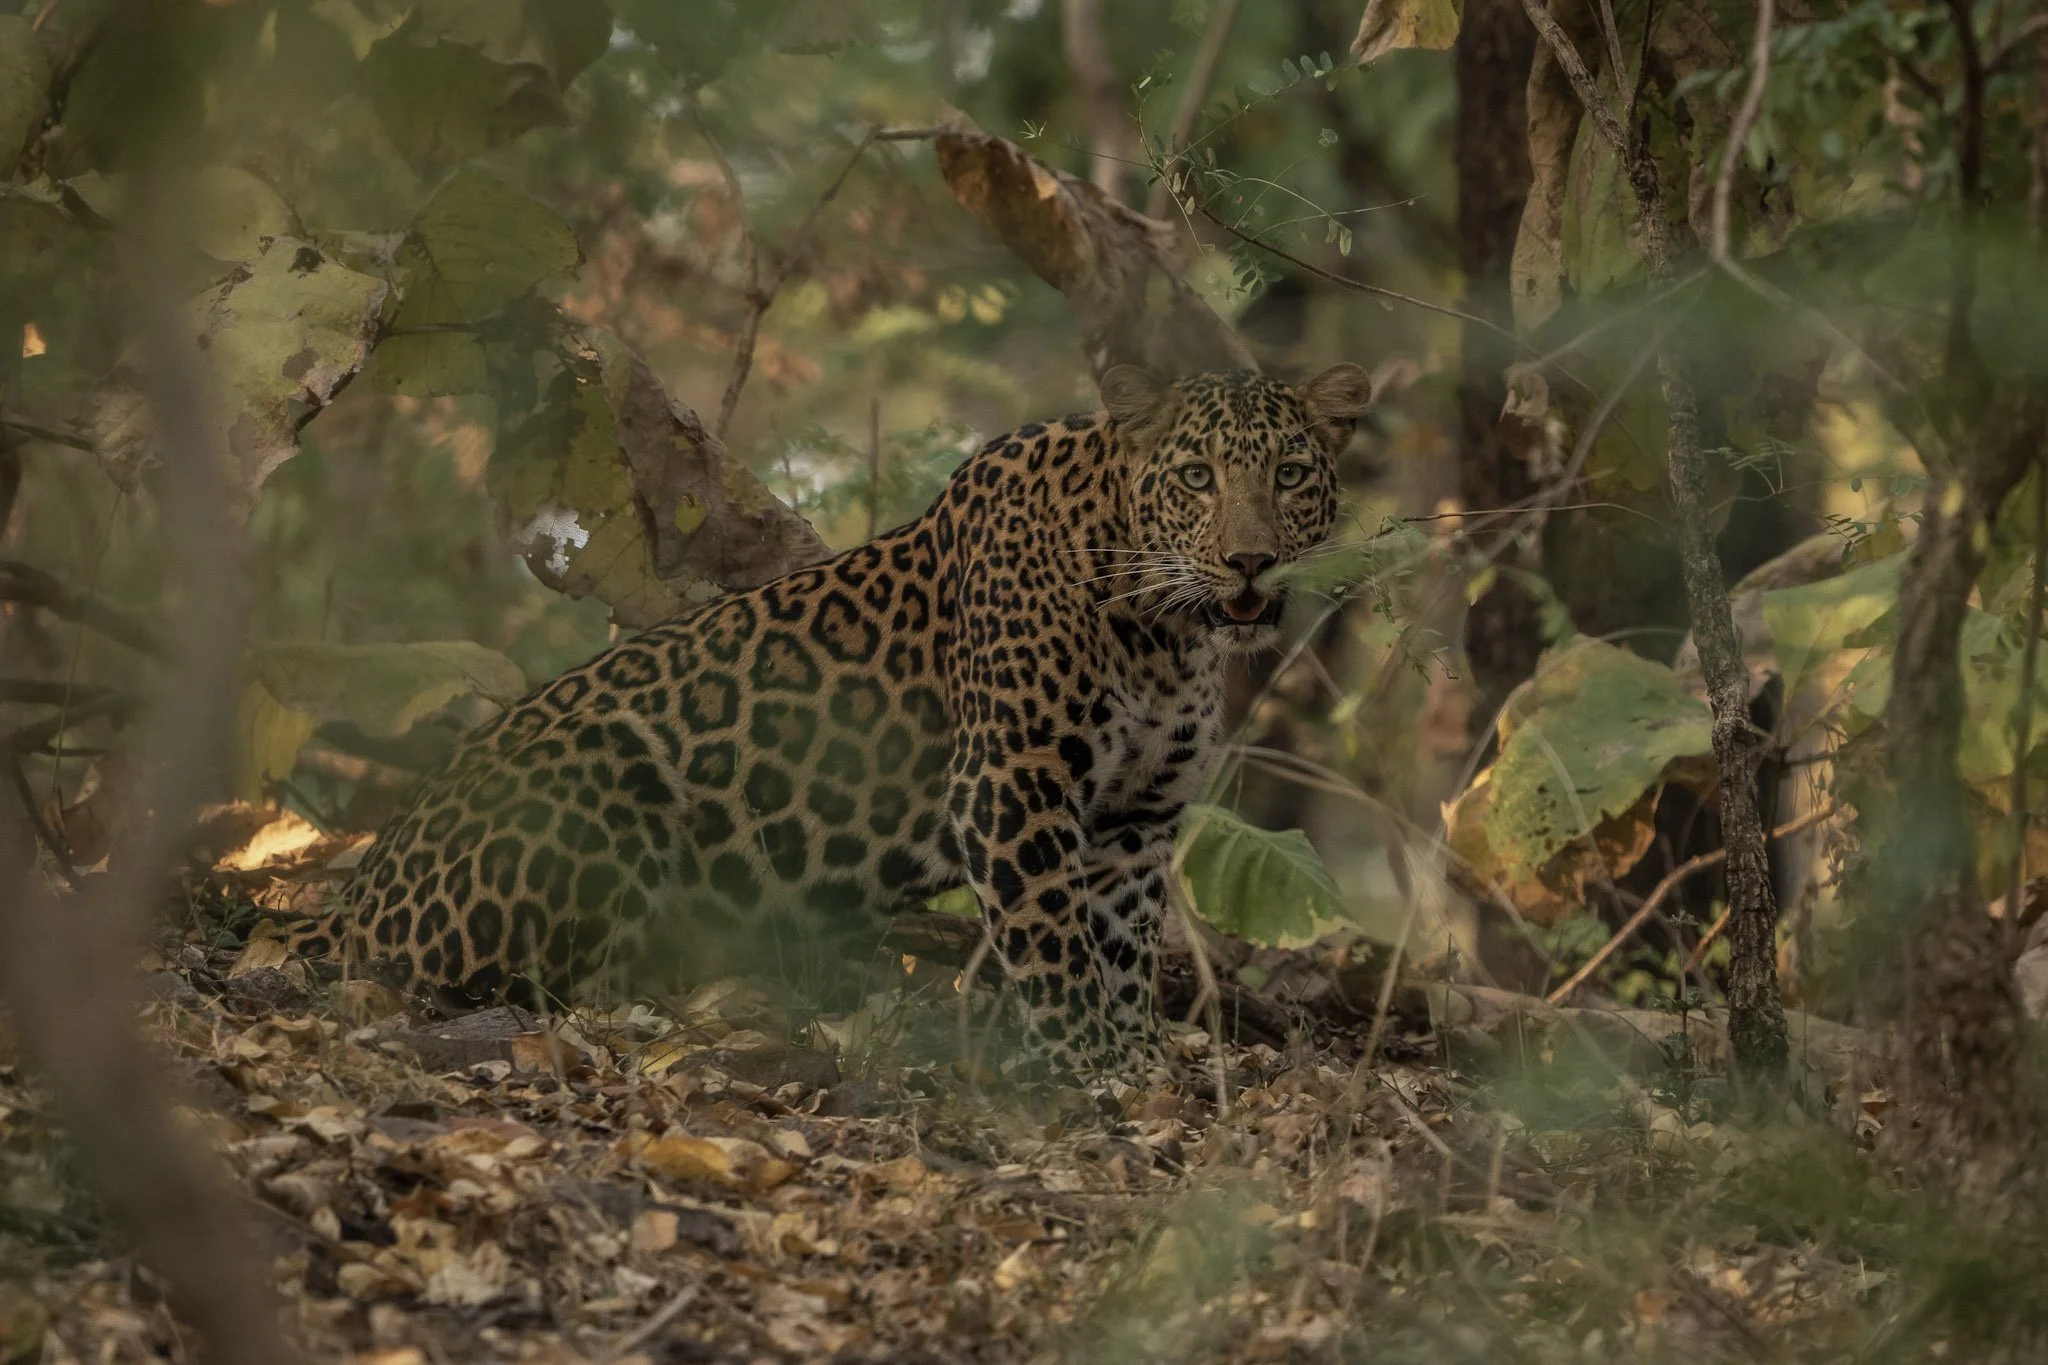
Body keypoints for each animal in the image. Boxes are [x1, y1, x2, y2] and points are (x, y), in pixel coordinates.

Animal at [288, 363, 1375, 1075]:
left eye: (1288, 474)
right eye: (1196, 478)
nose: (1248, 561)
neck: (1162, 630)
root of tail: (358, 897)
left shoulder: (1136, 816)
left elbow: (1118, 942)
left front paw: (1136, 1051)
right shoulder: (1011, 781)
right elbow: (1055, 943)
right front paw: (1084, 1061)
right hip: (598, 773)